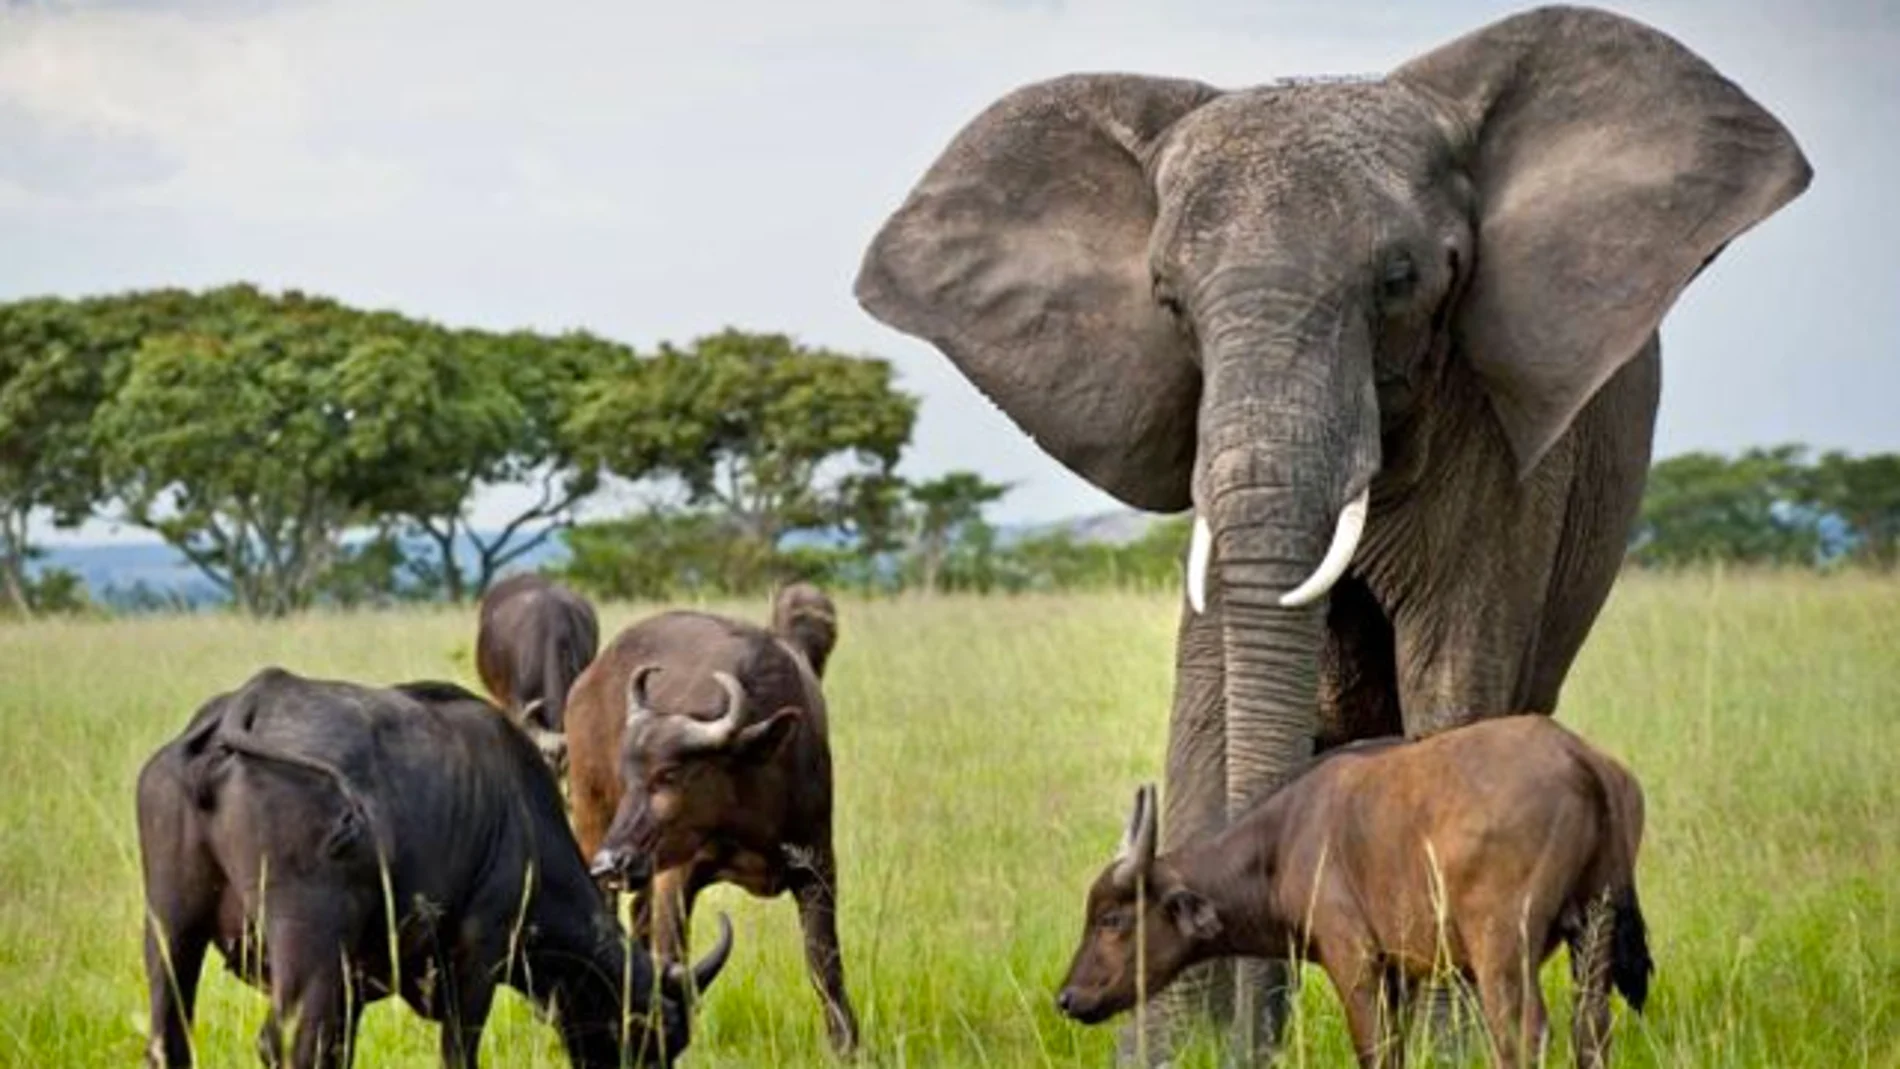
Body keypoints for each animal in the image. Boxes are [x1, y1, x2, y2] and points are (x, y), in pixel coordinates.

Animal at [854, 5, 1808, 1060]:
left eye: (1400, 279)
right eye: (1168, 299)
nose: (1255, 1036)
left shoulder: (1498, 443)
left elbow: (1453, 672)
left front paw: (1440, 1047)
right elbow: (1206, 701)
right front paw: (1176, 1052)